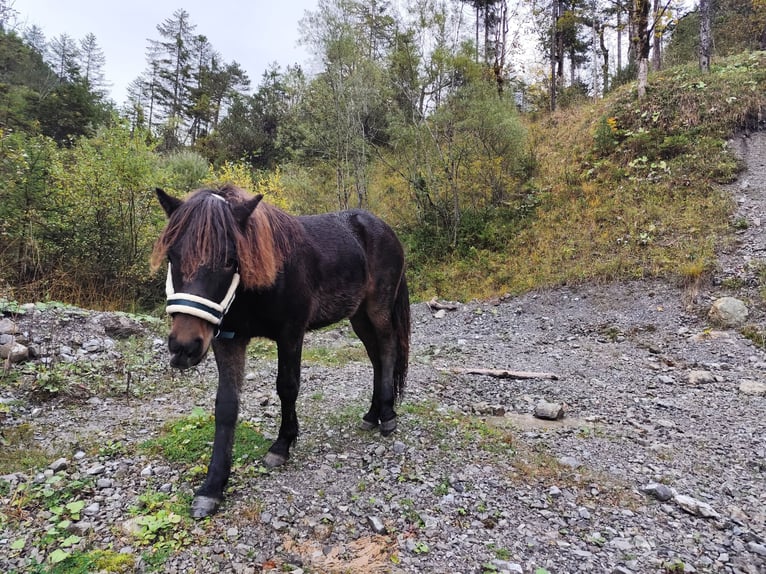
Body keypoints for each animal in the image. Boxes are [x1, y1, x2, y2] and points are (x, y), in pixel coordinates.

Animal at [151, 185, 411, 518]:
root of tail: (382, 226)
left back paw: (388, 415)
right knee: (376, 358)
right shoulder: (227, 340)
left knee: (388, 349)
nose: (184, 346)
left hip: (377, 309)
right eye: (172, 256)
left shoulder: (291, 333)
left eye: (230, 260)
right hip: (358, 316)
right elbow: (226, 406)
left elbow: (287, 387)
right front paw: (212, 487)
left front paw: (282, 445)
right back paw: (373, 413)